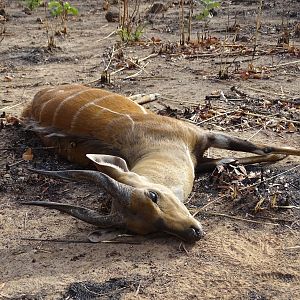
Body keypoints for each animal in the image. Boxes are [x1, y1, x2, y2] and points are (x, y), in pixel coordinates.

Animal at [21, 85, 300, 244]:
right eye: (146, 230)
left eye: (153, 195)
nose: (193, 233)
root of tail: (33, 102)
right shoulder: (198, 154)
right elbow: (238, 156)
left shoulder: (203, 135)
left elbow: (264, 148)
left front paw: (280, 156)